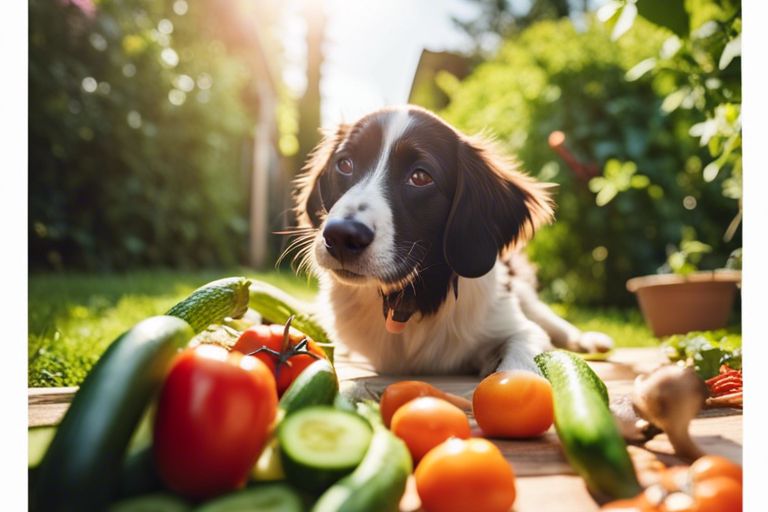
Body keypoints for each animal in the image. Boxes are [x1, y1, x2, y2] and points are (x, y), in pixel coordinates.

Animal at [288, 105, 612, 376]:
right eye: (344, 164)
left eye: (420, 177)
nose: (342, 235)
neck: (414, 297)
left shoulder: (514, 324)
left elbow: (521, 356)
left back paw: (588, 339)